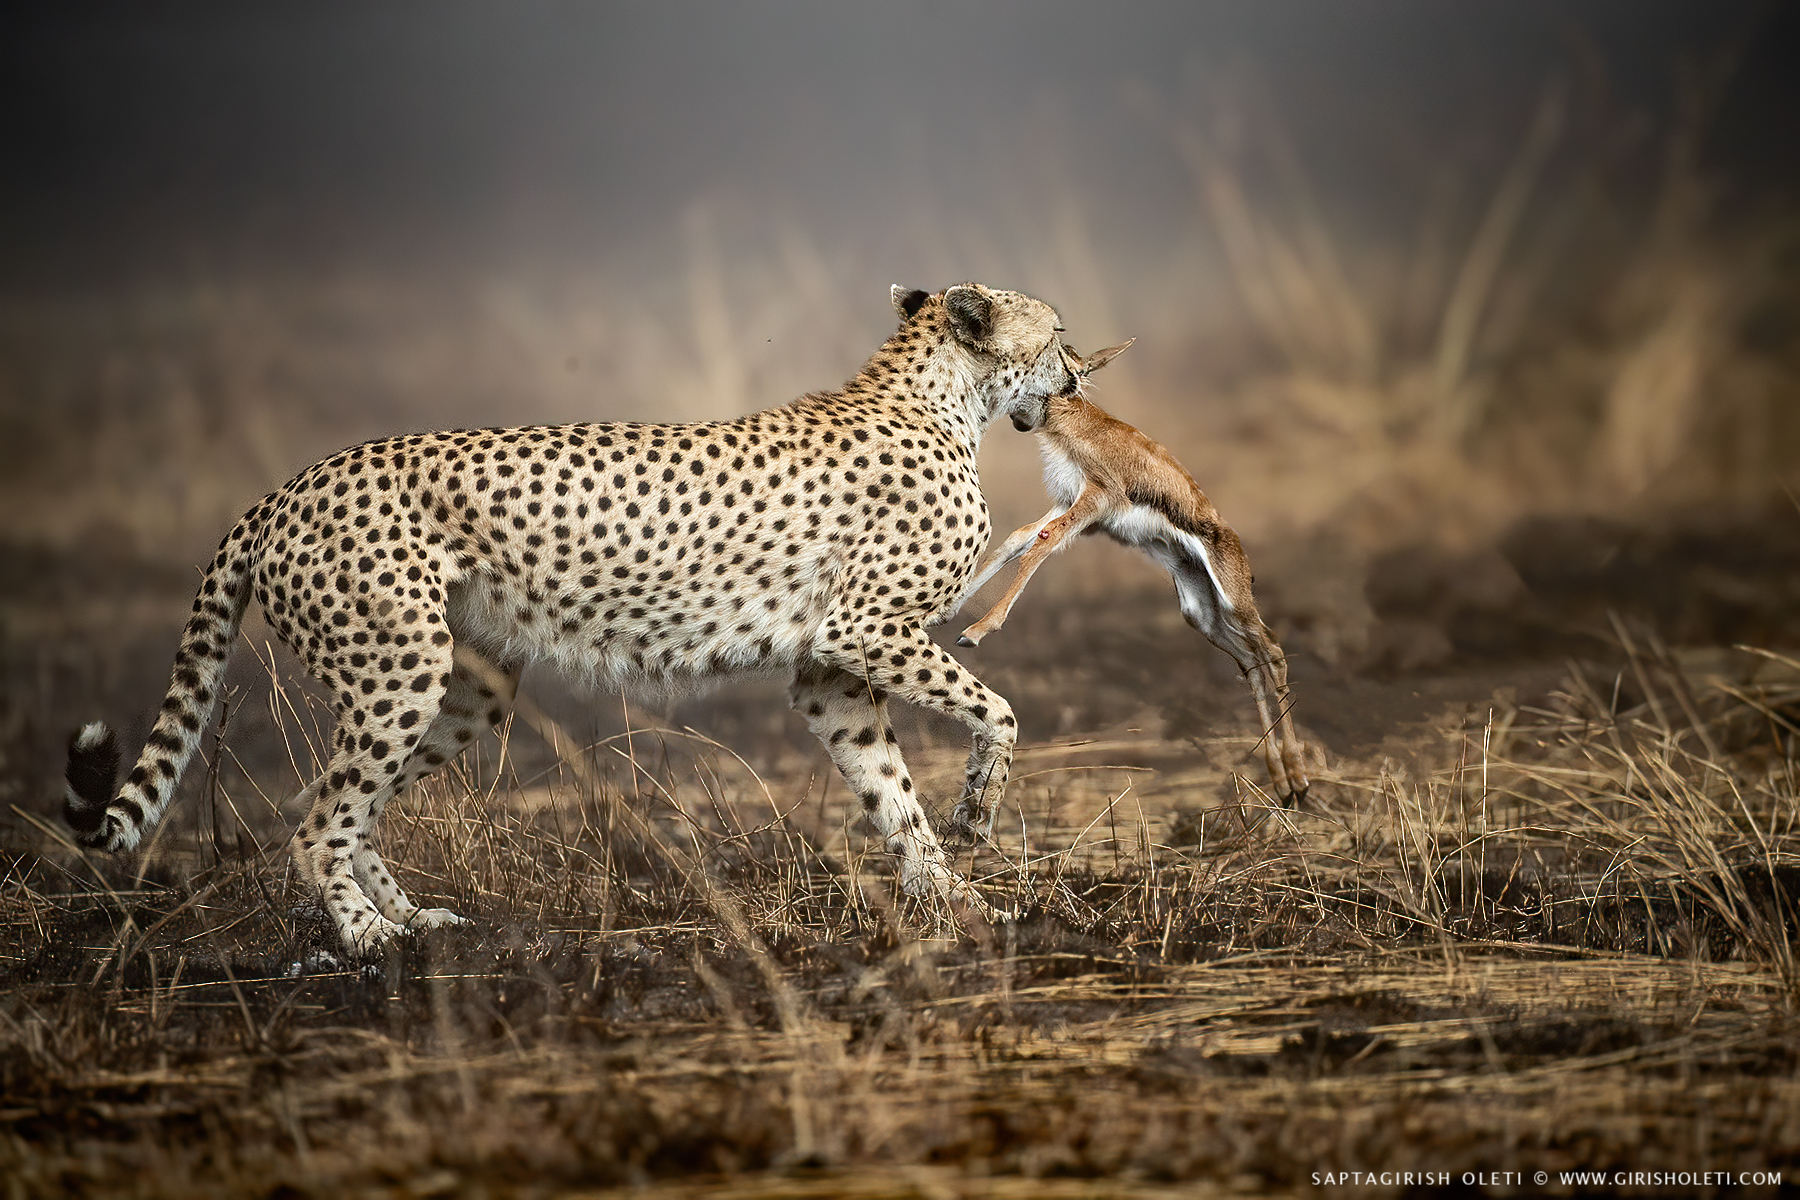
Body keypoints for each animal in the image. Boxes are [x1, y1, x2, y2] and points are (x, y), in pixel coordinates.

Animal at [63, 282, 1091, 952]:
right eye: (1057, 332)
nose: (1082, 372)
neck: (941, 396)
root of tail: (283, 489)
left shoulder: (830, 669)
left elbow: (893, 797)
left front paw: (960, 907)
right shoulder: (866, 632)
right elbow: (998, 713)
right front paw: (977, 813)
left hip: (462, 688)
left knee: (351, 810)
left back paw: (409, 918)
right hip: (397, 671)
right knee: (318, 821)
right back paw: (365, 940)